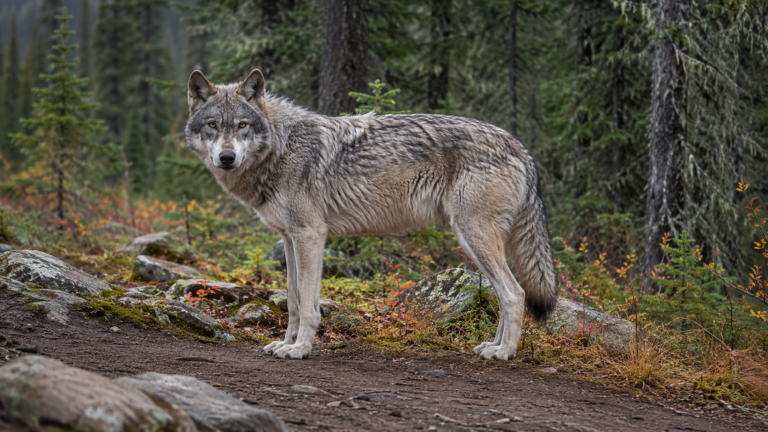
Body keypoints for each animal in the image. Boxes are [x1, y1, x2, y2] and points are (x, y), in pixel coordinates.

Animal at [185, 69, 557, 360]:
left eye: (243, 125)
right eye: (213, 125)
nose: (227, 157)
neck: (280, 146)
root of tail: (519, 146)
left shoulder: (310, 235)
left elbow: (307, 304)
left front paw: (300, 349)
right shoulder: (289, 238)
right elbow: (292, 300)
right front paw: (284, 343)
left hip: (473, 237)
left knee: (515, 294)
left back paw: (505, 352)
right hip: (476, 244)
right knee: (505, 294)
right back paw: (492, 346)